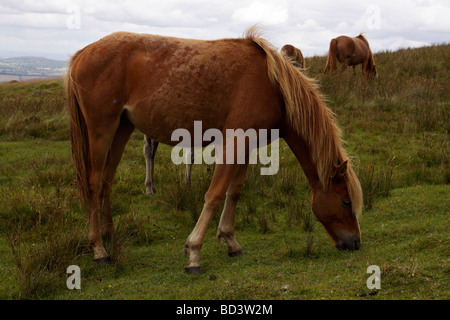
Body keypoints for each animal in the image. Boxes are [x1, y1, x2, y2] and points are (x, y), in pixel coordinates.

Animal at [66, 28, 362, 272]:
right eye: (346, 201)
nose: (356, 243)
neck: (273, 86)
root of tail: (82, 53)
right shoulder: (235, 141)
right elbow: (215, 193)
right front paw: (194, 253)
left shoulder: (247, 144)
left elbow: (234, 191)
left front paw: (230, 241)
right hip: (101, 131)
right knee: (94, 183)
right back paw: (99, 250)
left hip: (121, 129)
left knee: (106, 181)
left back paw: (109, 235)